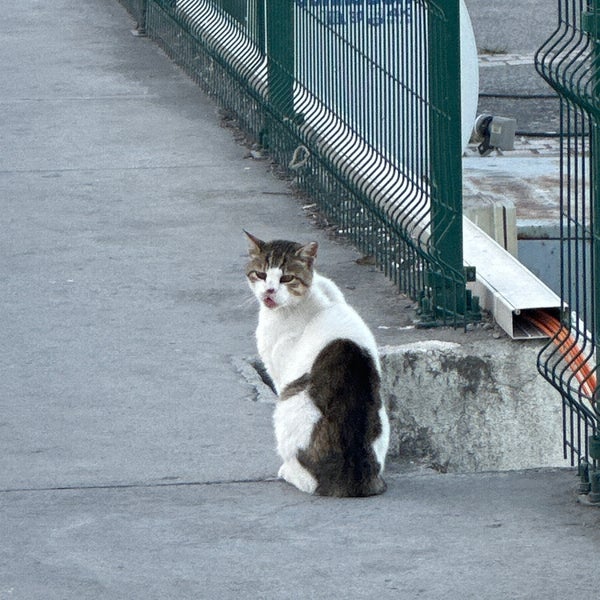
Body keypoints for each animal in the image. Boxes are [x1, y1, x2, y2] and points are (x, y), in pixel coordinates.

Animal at [244, 230, 390, 496]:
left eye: (286, 278)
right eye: (260, 274)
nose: (269, 291)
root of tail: (353, 477)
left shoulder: (279, 373)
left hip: (287, 405)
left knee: (309, 481)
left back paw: (288, 472)